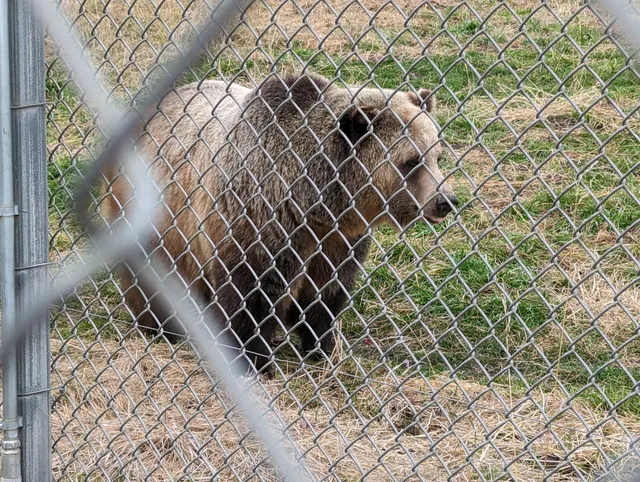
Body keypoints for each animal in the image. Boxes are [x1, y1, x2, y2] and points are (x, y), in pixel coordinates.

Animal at [101, 72, 457, 374]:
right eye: (411, 160)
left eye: (437, 155)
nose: (446, 200)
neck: (316, 203)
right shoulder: (260, 218)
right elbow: (251, 296)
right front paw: (256, 361)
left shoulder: (338, 238)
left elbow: (326, 294)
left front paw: (322, 347)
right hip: (155, 209)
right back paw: (159, 326)